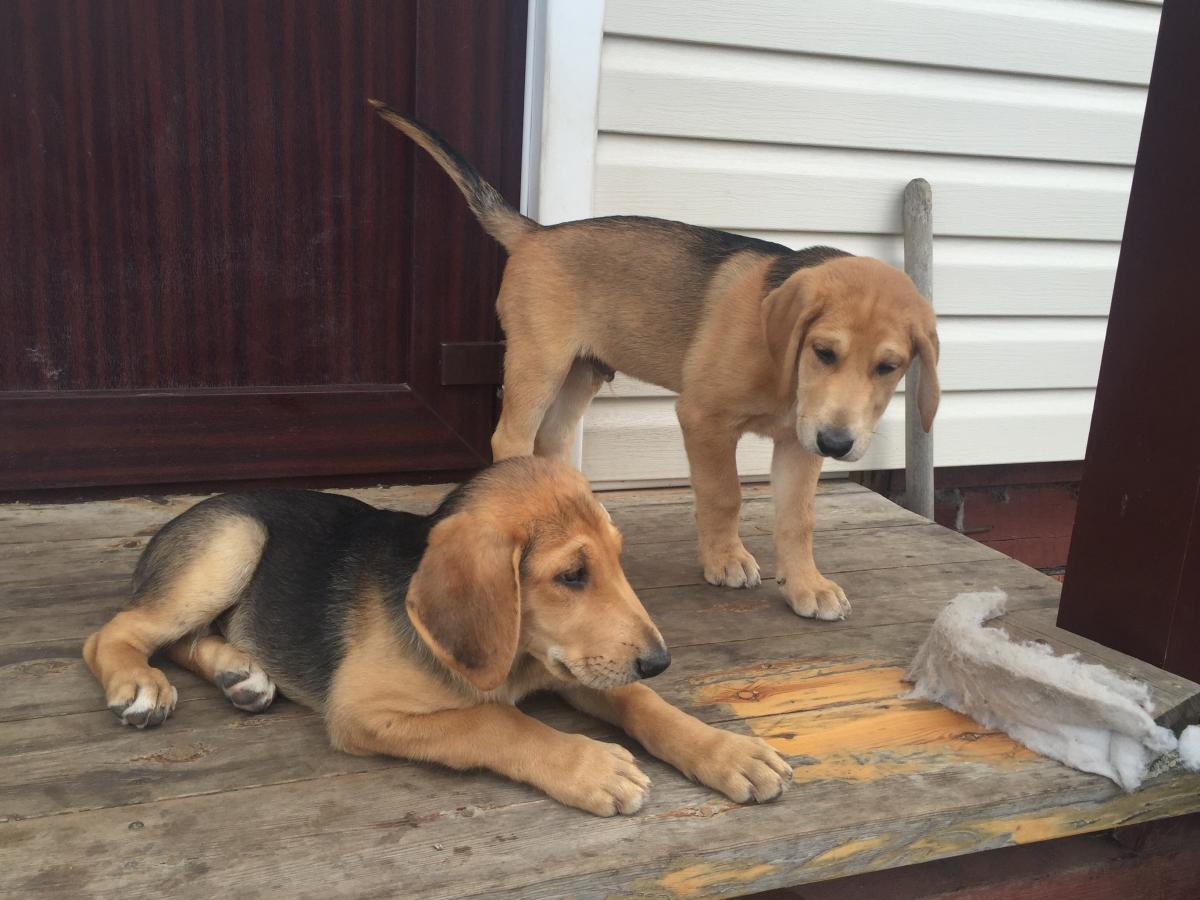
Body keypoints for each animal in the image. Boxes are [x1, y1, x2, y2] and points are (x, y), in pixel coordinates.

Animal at [84, 458, 796, 816]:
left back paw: (242, 673)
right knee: (113, 634)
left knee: (182, 636)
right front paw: (590, 764)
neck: (519, 659)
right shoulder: (364, 710)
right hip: (234, 541)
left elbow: (640, 703)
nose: (660, 660)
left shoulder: (578, 665)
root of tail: (184, 513)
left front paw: (727, 751)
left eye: (619, 563)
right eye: (571, 575)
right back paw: (140, 685)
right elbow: (496, 720)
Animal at [369, 98, 940, 619]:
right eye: (824, 352)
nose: (838, 444)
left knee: (554, 438)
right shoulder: (704, 419)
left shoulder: (799, 443)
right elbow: (725, 494)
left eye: (888, 367)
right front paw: (726, 559)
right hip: (540, 360)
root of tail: (536, 232)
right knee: (511, 437)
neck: (786, 373)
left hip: (583, 370)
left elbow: (798, 519)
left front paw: (806, 586)